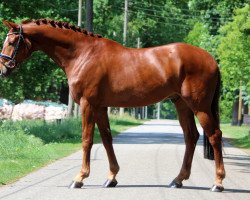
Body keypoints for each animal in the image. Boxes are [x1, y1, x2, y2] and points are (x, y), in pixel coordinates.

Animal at [0, 19, 225, 192]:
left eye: (11, 41)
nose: (3, 69)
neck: (83, 54)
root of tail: (212, 60)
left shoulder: (88, 105)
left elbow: (87, 140)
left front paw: (79, 178)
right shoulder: (100, 107)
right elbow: (107, 139)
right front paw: (111, 177)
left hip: (199, 106)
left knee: (214, 135)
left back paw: (218, 183)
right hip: (182, 105)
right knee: (191, 136)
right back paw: (178, 180)